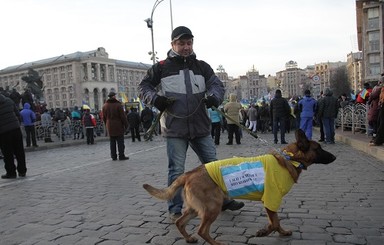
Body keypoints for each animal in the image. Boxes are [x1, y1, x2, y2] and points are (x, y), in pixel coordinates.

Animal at [143, 129, 336, 244]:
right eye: (318, 149)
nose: (334, 157)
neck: (290, 158)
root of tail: (189, 173)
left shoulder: (271, 202)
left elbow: (277, 221)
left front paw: (281, 232)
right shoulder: (271, 199)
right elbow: (274, 222)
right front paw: (265, 232)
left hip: (195, 208)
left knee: (180, 222)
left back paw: (189, 238)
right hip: (213, 207)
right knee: (202, 230)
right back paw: (216, 243)